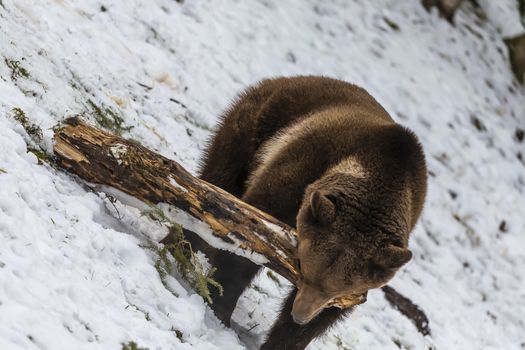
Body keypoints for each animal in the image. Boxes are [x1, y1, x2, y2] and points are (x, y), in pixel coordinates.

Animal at [188, 76, 426, 350]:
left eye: (334, 288)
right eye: (306, 271)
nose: (300, 314)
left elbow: (327, 316)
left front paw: (284, 339)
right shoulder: (302, 168)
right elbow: (248, 241)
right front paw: (220, 308)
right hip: (254, 127)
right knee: (219, 178)